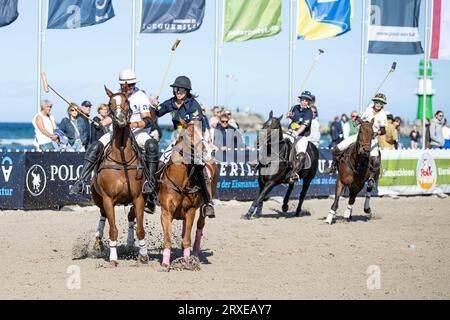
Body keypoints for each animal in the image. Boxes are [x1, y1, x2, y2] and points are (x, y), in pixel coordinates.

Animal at [90, 84, 149, 264]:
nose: (120, 119)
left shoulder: (139, 198)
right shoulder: (108, 199)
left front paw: (143, 255)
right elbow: (113, 229)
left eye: (127, 101)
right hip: (98, 198)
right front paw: (113, 257)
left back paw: (129, 244)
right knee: (102, 216)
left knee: (130, 216)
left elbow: (140, 229)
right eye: (110, 103)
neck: (122, 156)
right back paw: (98, 242)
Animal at [159, 117, 219, 268]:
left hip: (203, 208)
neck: (179, 181)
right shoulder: (166, 212)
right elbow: (167, 239)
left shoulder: (191, 210)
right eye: (189, 133)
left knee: (199, 226)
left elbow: (187, 239)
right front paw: (165, 264)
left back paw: (196, 254)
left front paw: (187, 262)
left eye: (202, 132)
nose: (210, 151)